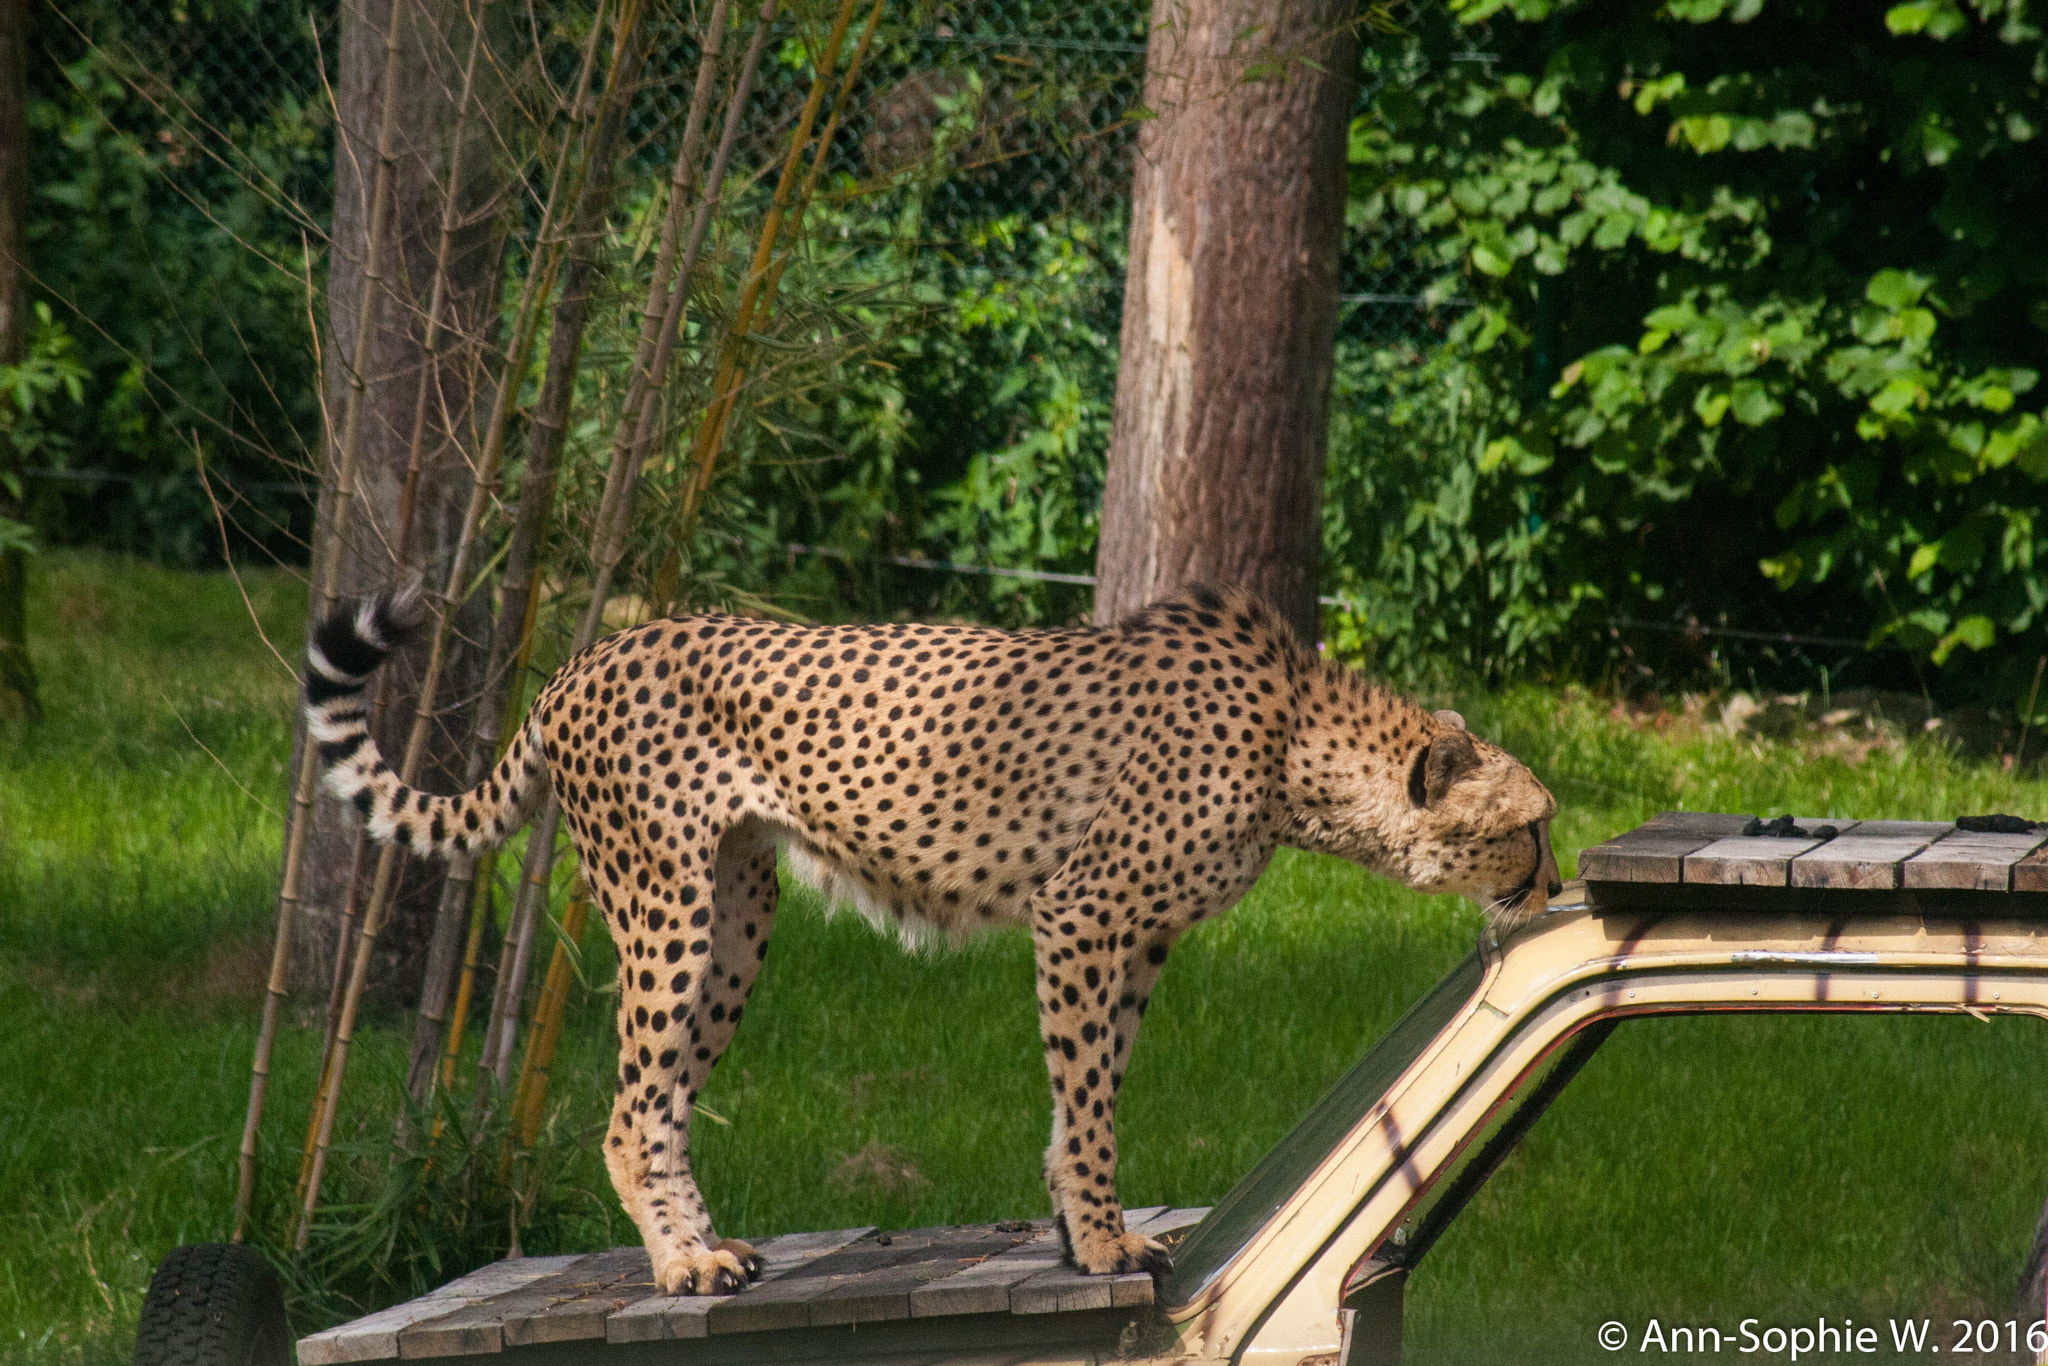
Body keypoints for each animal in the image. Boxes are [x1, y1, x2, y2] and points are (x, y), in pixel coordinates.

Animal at [299, 581, 1548, 1302]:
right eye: (1526, 825)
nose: (1551, 874)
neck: (1296, 742)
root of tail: (580, 660)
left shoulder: (1137, 936)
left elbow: (1090, 1085)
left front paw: (1075, 1231)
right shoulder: (1083, 912)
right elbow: (1089, 1093)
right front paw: (1102, 1243)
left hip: (737, 920)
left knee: (665, 1097)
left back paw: (714, 1248)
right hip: (667, 909)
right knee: (626, 1108)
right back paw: (677, 1263)